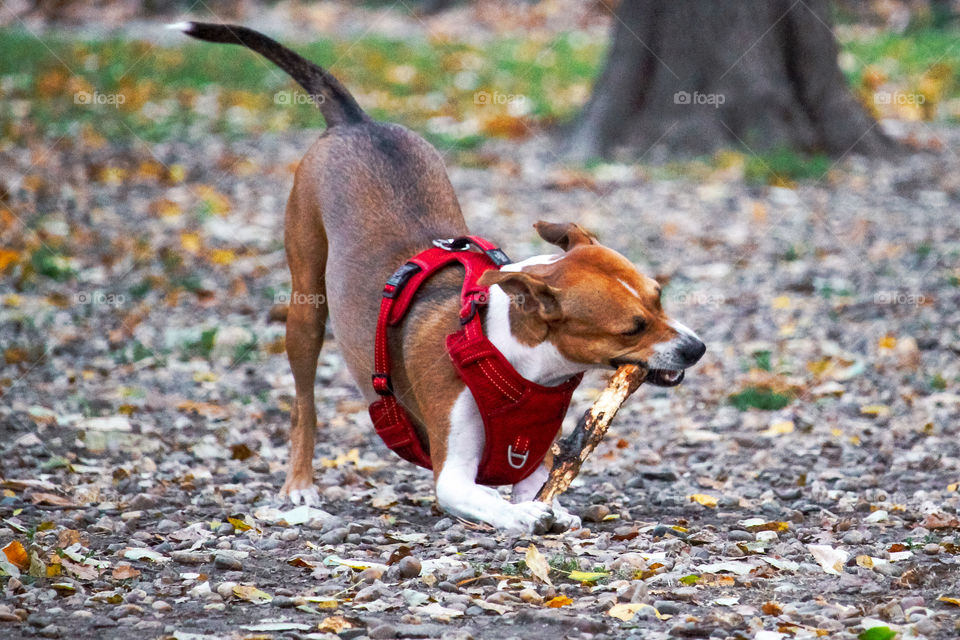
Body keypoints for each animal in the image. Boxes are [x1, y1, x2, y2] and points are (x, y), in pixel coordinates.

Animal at [172, 22, 704, 532]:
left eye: (660, 297)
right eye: (632, 327)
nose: (697, 348)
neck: (512, 359)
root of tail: (356, 123)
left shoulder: (530, 460)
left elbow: (535, 486)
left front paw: (552, 508)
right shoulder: (452, 473)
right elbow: (489, 499)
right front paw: (522, 516)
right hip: (306, 306)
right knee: (304, 403)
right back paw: (300, 485)